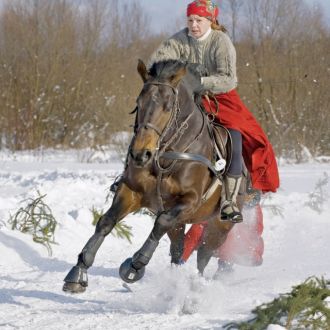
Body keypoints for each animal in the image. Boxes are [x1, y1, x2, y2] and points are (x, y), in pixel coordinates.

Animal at [62, 60, 245, 294]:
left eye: (168, 106)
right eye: (138, 102)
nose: (141, 154)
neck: (165, 154)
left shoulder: (190, 200)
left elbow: (161, 221)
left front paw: (134, 265)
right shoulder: (132, 191)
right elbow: (106, 221)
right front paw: (78, 271)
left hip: (219, 226)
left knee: (204, 254)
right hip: (180, 224)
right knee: (178, 251)